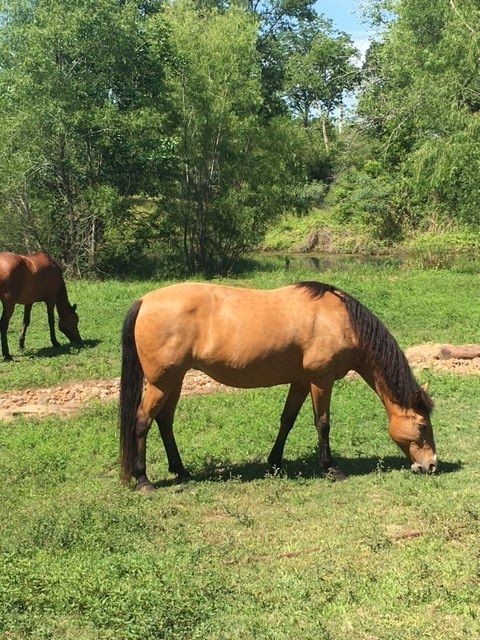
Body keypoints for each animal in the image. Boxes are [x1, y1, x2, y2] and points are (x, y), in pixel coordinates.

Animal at [119, 280, 436, 490]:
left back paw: (181, 470)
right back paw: (143, 479)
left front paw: (275, 461)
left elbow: (288, 420)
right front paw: (331, 468)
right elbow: (322, 423)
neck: (340, 320)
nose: (431, 465)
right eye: (422, 426)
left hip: (175, 380)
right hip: (161, 383)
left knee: (165, 421)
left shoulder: (301, 381)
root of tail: (145, 301)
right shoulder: (321, 381)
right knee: (142, 421)